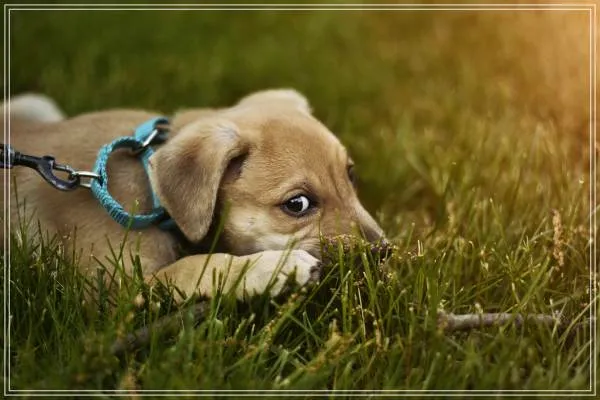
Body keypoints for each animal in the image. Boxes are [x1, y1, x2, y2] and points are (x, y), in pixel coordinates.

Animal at [3, 89, 386, 300]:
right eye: (298, 204)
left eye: (351, 175)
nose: (384, 252)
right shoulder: (113, 292)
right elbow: (194, 267)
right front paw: (273, 267)